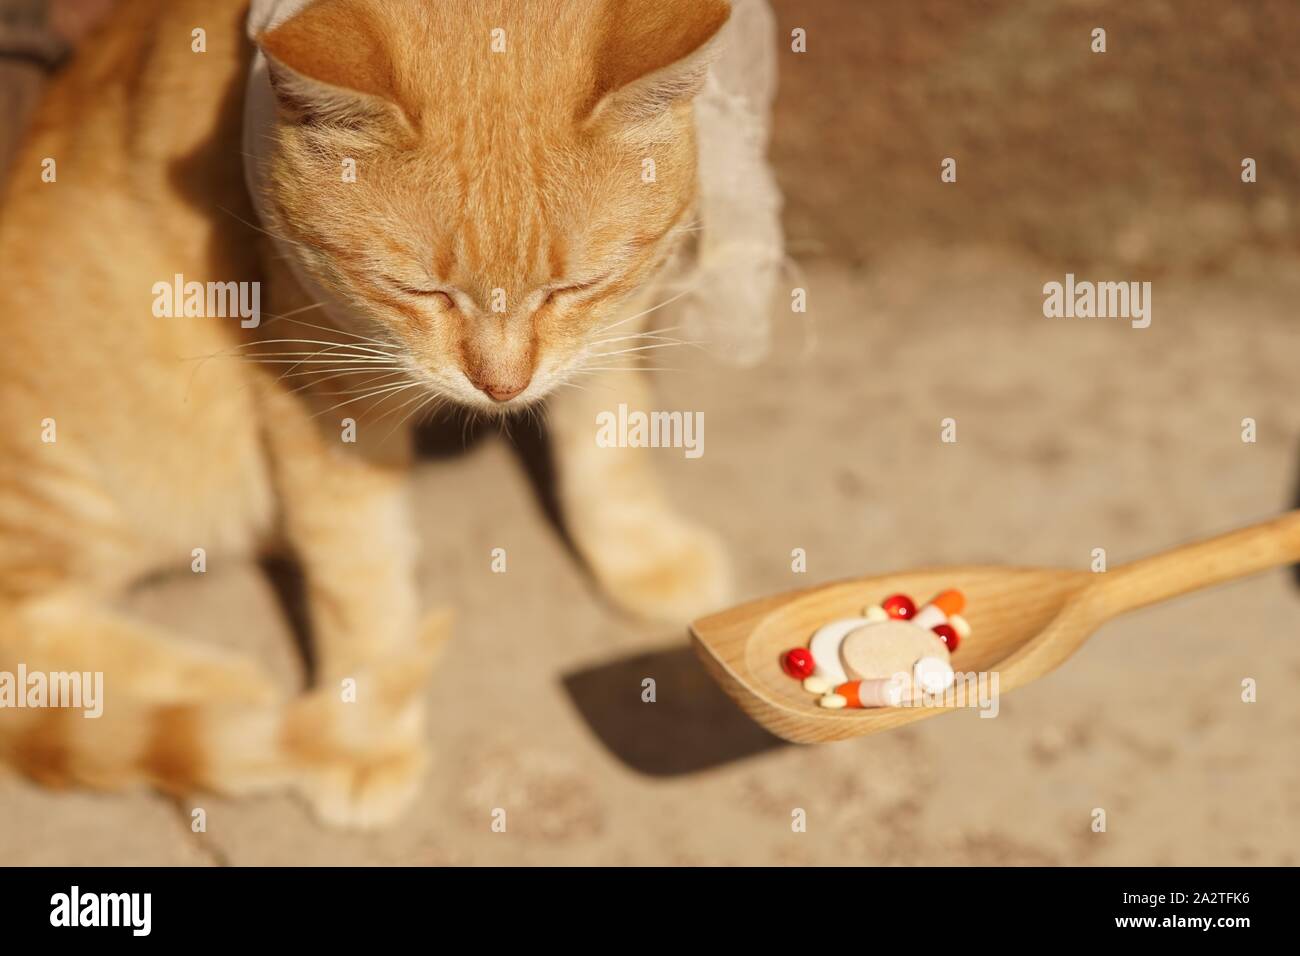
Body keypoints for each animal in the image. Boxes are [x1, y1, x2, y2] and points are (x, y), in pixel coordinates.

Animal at [0, 0, 733, 827]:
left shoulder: (608, 328)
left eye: (573, 286)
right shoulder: (319, 391)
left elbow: (612, 449)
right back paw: (223, 683)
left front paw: (640, 553)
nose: (503, 388)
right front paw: (367, 732)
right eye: (419, 291)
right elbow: (359, 567)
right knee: (24, 628)